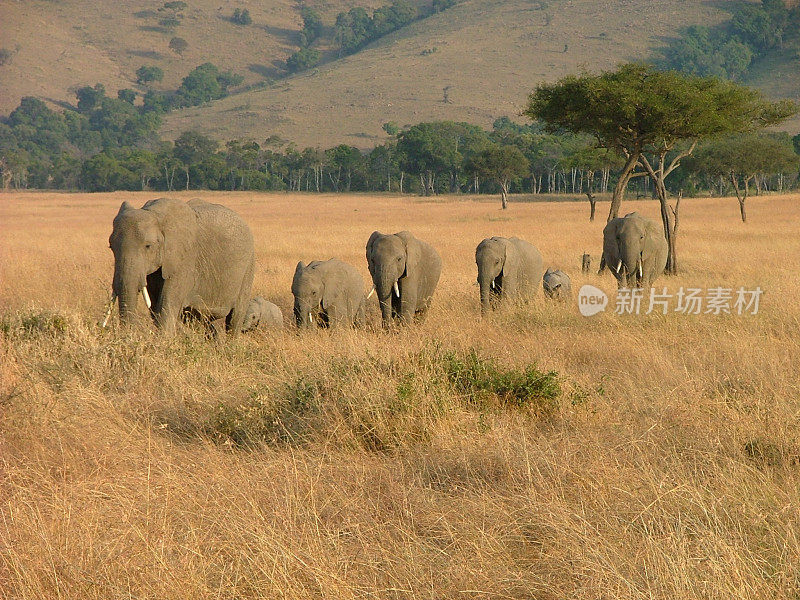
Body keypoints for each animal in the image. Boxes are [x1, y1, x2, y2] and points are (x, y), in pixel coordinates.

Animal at [108, 198, 255, 336]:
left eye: (148, 246)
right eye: (111, 247)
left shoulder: (184, 259)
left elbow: (166, 306)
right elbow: (155, 305)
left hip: (248, 267)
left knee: (235, 318)